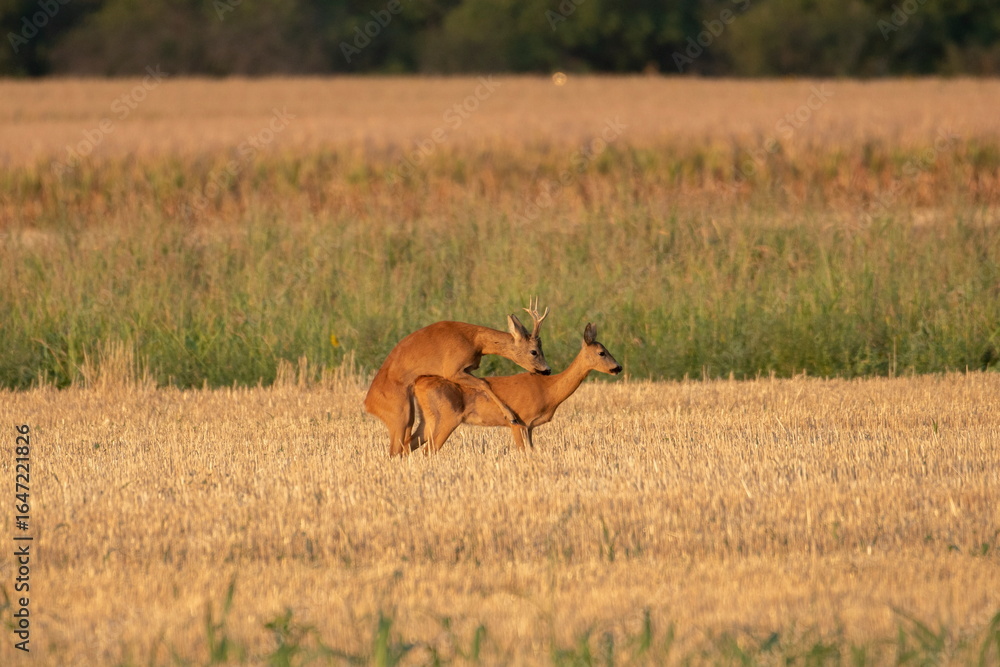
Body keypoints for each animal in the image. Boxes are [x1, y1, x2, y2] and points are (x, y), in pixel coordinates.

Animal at [364, 299, 551, 456]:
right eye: (534, 351)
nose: (547, 370)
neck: (476, 341)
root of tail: (368, 404)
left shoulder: (467, 368)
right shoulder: (452, 369)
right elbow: (484, 384)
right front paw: (511, 416)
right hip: (400, 413)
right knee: (395, 450)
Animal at [410, 322, 621, 453]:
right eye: (602, 353)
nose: (618, 367)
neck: (549, 390)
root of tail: (418, 383)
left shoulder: (530, 427)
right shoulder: (520, 421)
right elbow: (522, 451)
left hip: (429, 419)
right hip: (447, 417)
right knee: (428, 451)